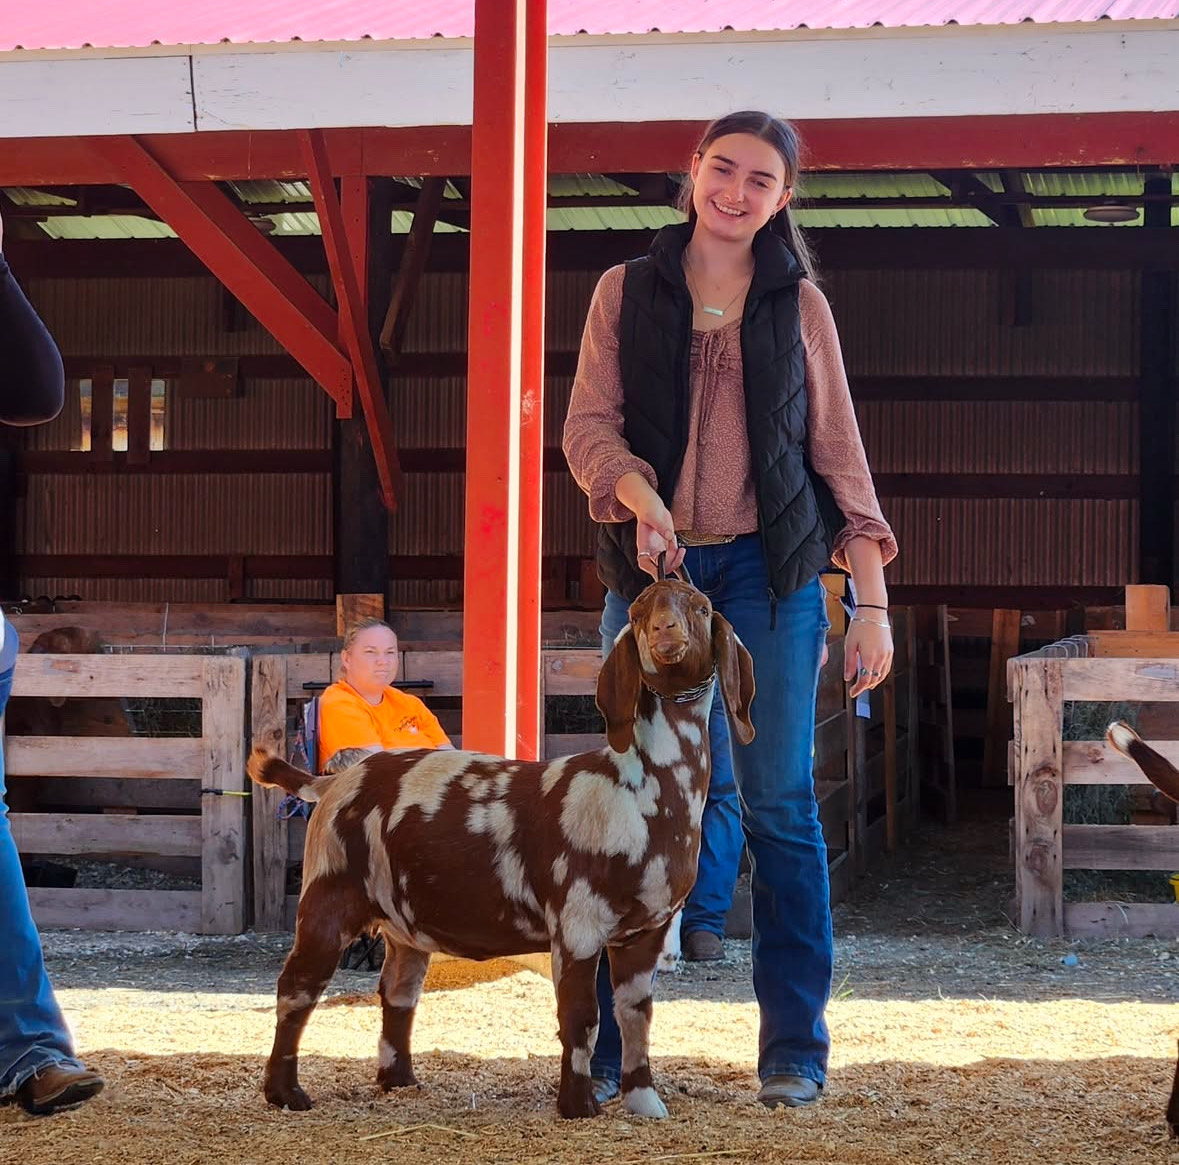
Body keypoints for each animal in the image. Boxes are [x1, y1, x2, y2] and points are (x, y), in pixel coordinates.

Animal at [246, 580, 754, 1117]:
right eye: (637, 613)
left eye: (701, 608)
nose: (665, 629)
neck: (638, 786)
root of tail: (330, 782)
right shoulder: (577, 922)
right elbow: (581, 1016)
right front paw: (578, 1107)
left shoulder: (648, 930)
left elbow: (636, 1015)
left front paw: (644, 1103)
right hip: (327, 896)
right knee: (297, 987)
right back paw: (286, 1093)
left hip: (403, 926)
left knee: (398, 991)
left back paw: (400, 1081)